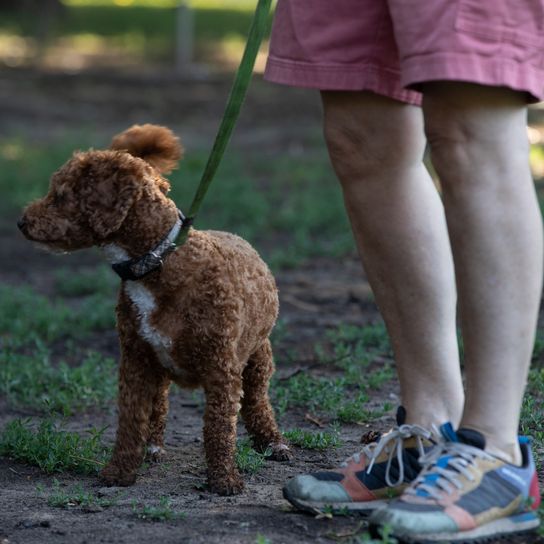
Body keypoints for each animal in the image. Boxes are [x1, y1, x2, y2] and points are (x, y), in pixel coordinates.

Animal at [19, 125, 294, 496]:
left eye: (60, 195)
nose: (21, 222)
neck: (156, 263)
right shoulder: (135, 360)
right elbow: (131, 421)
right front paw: (120, 472)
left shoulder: (221, 367)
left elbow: (219, 427)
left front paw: (224, 479)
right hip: (159, 365)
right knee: (159, 404)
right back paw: (152, 446)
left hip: (257, 356)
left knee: (256, 400)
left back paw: (273, 442)